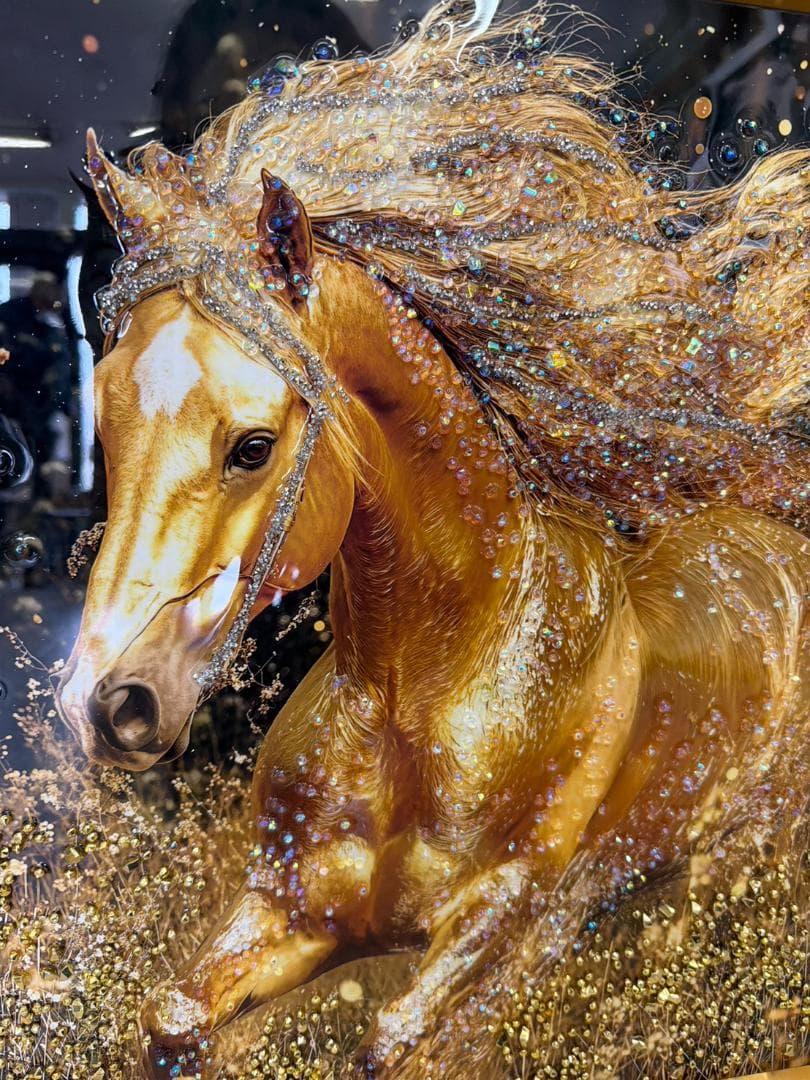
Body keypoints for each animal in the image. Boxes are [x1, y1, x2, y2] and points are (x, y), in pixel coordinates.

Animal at [55, 3, 810, 1076]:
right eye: (107, 422)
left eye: (253, 446)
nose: (104, 705)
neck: (425, 696)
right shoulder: (291, 911)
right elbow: (171, 1019)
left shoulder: (500, 916)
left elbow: (393, 1041)